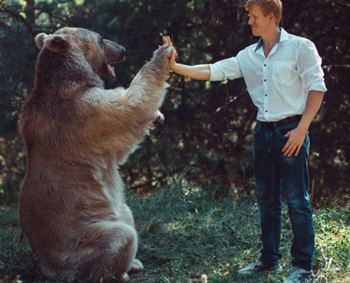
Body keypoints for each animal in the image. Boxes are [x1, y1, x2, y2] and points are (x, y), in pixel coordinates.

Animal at [17, 27, 174, 282]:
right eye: (101, 39)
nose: (122, 49)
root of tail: (48, 267)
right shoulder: (82, 112)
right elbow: (129, 108)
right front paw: (162, 54)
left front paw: (158, 116)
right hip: (81, 241)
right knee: (120, 235)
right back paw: (120, 272)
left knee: (127, 212)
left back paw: (134, 263)